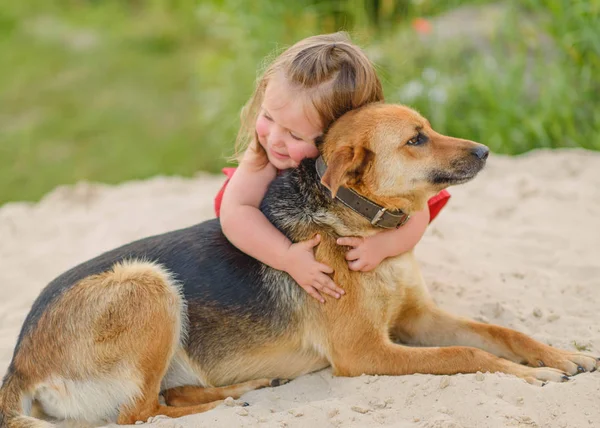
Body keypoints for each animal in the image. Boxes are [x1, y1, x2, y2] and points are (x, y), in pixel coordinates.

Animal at [0, 103, 596, 428]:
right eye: (416, 139)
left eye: (427, 128)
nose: (486, 151)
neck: (356, 223)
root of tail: (19, 361)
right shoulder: (366, 354)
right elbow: (465, 354)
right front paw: (532, 375)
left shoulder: (416, 320)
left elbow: (501, 332)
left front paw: (560, 355)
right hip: (147, 281)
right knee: (137, 413)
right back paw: (226, 407)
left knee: (163, 397)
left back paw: (246, 388)